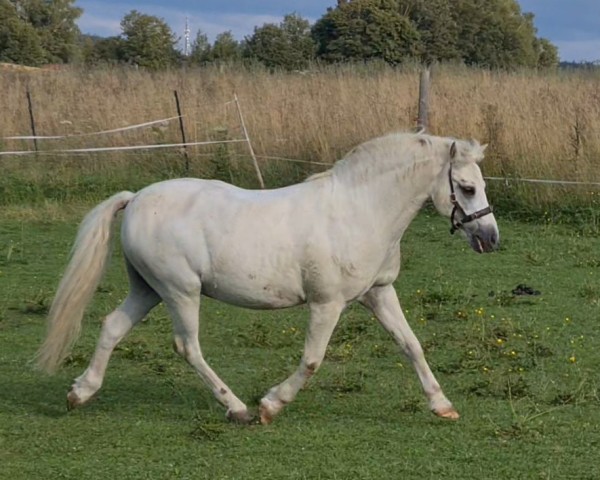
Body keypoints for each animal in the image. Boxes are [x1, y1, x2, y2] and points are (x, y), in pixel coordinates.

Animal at [35, 130, 500, 424]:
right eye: (467, 187)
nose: (490, 238)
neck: (359, 210)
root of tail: (134, 200)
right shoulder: (327, 303)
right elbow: (312, 360)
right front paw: (271, 405)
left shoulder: (378, 293)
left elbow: (412, 346)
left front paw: (442, 405)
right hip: (180, 291)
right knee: (188, 347)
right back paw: (238, 408)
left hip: (148, 289)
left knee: (112, 326)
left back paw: (80, 392)